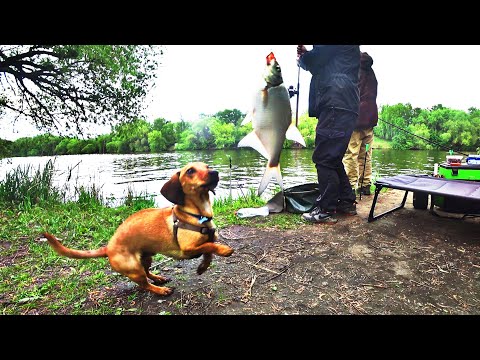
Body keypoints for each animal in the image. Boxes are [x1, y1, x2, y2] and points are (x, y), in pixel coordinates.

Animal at [42, 162, 233, 296]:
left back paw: (158, 278)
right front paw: (224, 250)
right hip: (134, 268)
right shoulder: (187, 249)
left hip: (146, 257)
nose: (215, 172)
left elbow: (208, 251)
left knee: (148, 272)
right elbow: (209, 246)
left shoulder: (204, 242)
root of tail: (108, 248)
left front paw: (203, 267)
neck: (198, 216)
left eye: (207, 167)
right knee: (144, 284)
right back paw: (160, 290)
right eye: (190, 171)